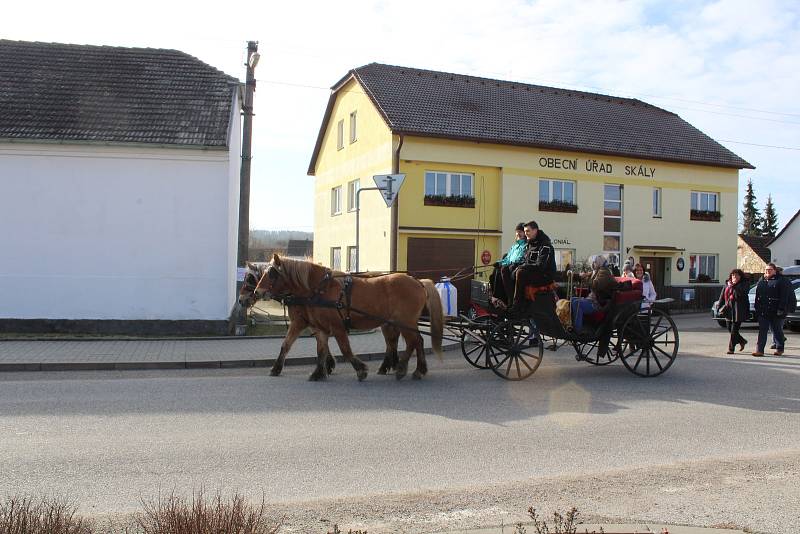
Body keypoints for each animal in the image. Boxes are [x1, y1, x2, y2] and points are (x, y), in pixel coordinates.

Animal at [255, 255, 444, 382]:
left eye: (272, 273)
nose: (258, 292)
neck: (321, 289)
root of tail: (417, 281)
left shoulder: (334, 326)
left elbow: (345, 349)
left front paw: (360, 370)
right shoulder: (318, 326)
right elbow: (314, 349)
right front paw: (318, 372)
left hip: (404, 321)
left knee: (413, 342)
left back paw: (404, 369)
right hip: (400, 323)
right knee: (414, 342)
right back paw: (415, 369)